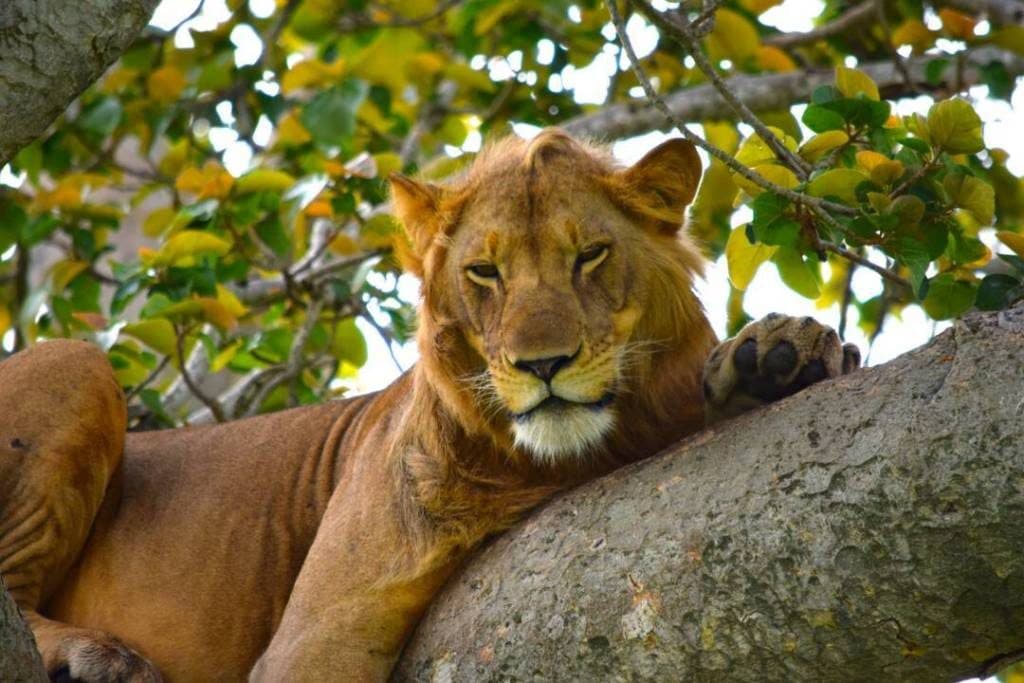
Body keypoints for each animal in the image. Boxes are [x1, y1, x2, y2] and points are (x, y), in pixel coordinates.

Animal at [0, 127, 860, 679]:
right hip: (77, 360)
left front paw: (779, 355)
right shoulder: (314, 637)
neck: (551, 462)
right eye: (485, 272)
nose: (542, 364)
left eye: (590, 255)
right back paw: (98, 658)